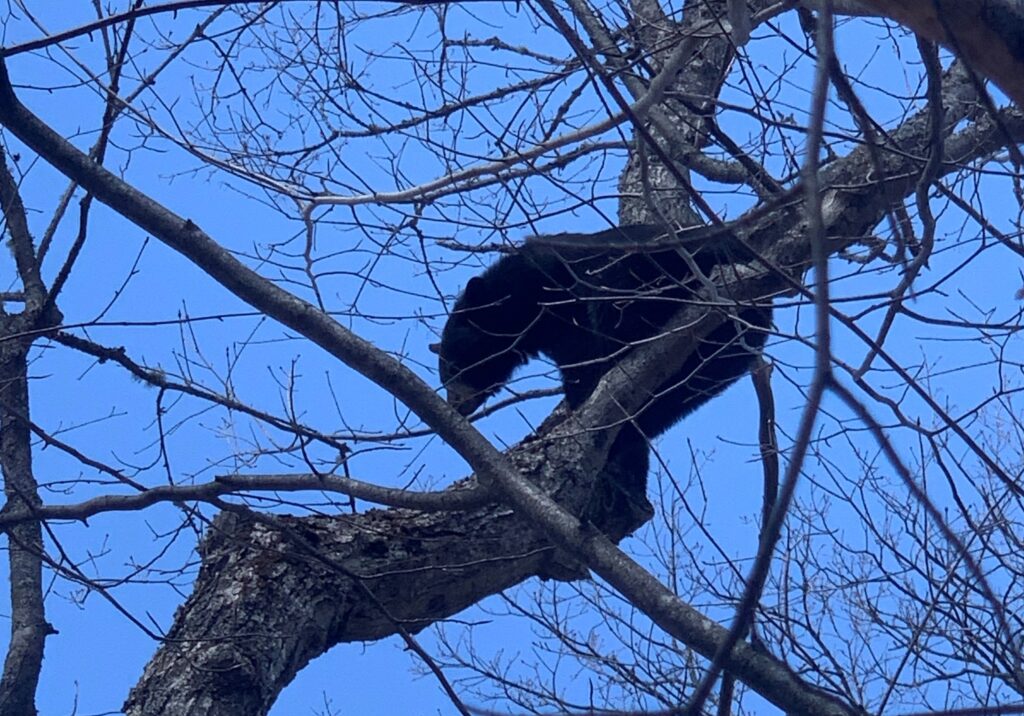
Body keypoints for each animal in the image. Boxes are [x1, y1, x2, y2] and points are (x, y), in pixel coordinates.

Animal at [430, 226, 770, 528]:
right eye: (446, 373)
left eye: (452, 367)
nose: (456, 405)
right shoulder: (560, 336)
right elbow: (578, 365)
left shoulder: (561, 281)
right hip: (722, 358)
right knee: (672, 400)